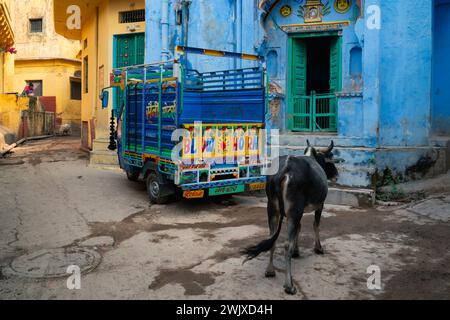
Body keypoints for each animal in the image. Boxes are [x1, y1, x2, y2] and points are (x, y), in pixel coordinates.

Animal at [244, 140, 340, 296]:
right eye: (329, 158)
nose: (336, 175)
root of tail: (285, 170)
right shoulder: (320, 205)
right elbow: (315, 225)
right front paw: (318, 248)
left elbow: (299, 228)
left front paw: (296, 251)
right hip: (294, 211)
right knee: (286, 244)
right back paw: (289, 285)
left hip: (273, 210)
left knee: (272, 239)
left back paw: (270, 270)